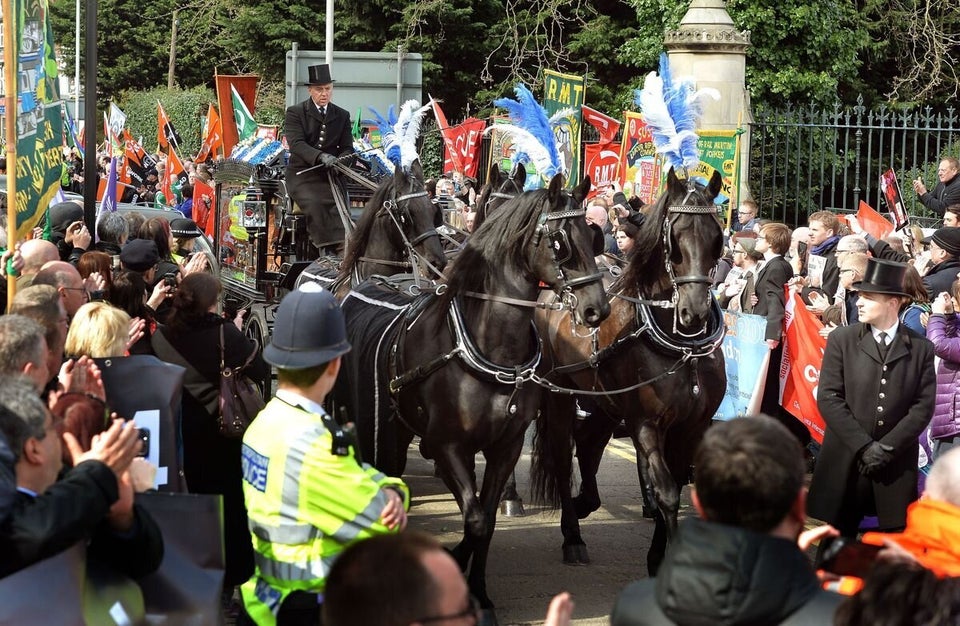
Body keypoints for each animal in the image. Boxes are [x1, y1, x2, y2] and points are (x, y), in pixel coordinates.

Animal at [334, 173, 612, 612]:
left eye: (592, 234)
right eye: (559, 242)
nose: (597, 309)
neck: (489, 347)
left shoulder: (506, 446)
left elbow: (486, 519)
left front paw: (478, 592)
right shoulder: (448, 445)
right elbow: (476, 518)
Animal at [528, 166, 724, 572]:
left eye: (717, 237)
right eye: (674, 239)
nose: (695, 311)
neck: (681, 346)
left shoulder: (692, 426)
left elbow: (677, 482)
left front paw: (659, 553)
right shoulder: (645, 422)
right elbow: (666, 491)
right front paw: (664, 558)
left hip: (604, 401)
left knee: (588, 444)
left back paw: (585, 503)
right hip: (560, 393)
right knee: (562, 454)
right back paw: (572, 535)